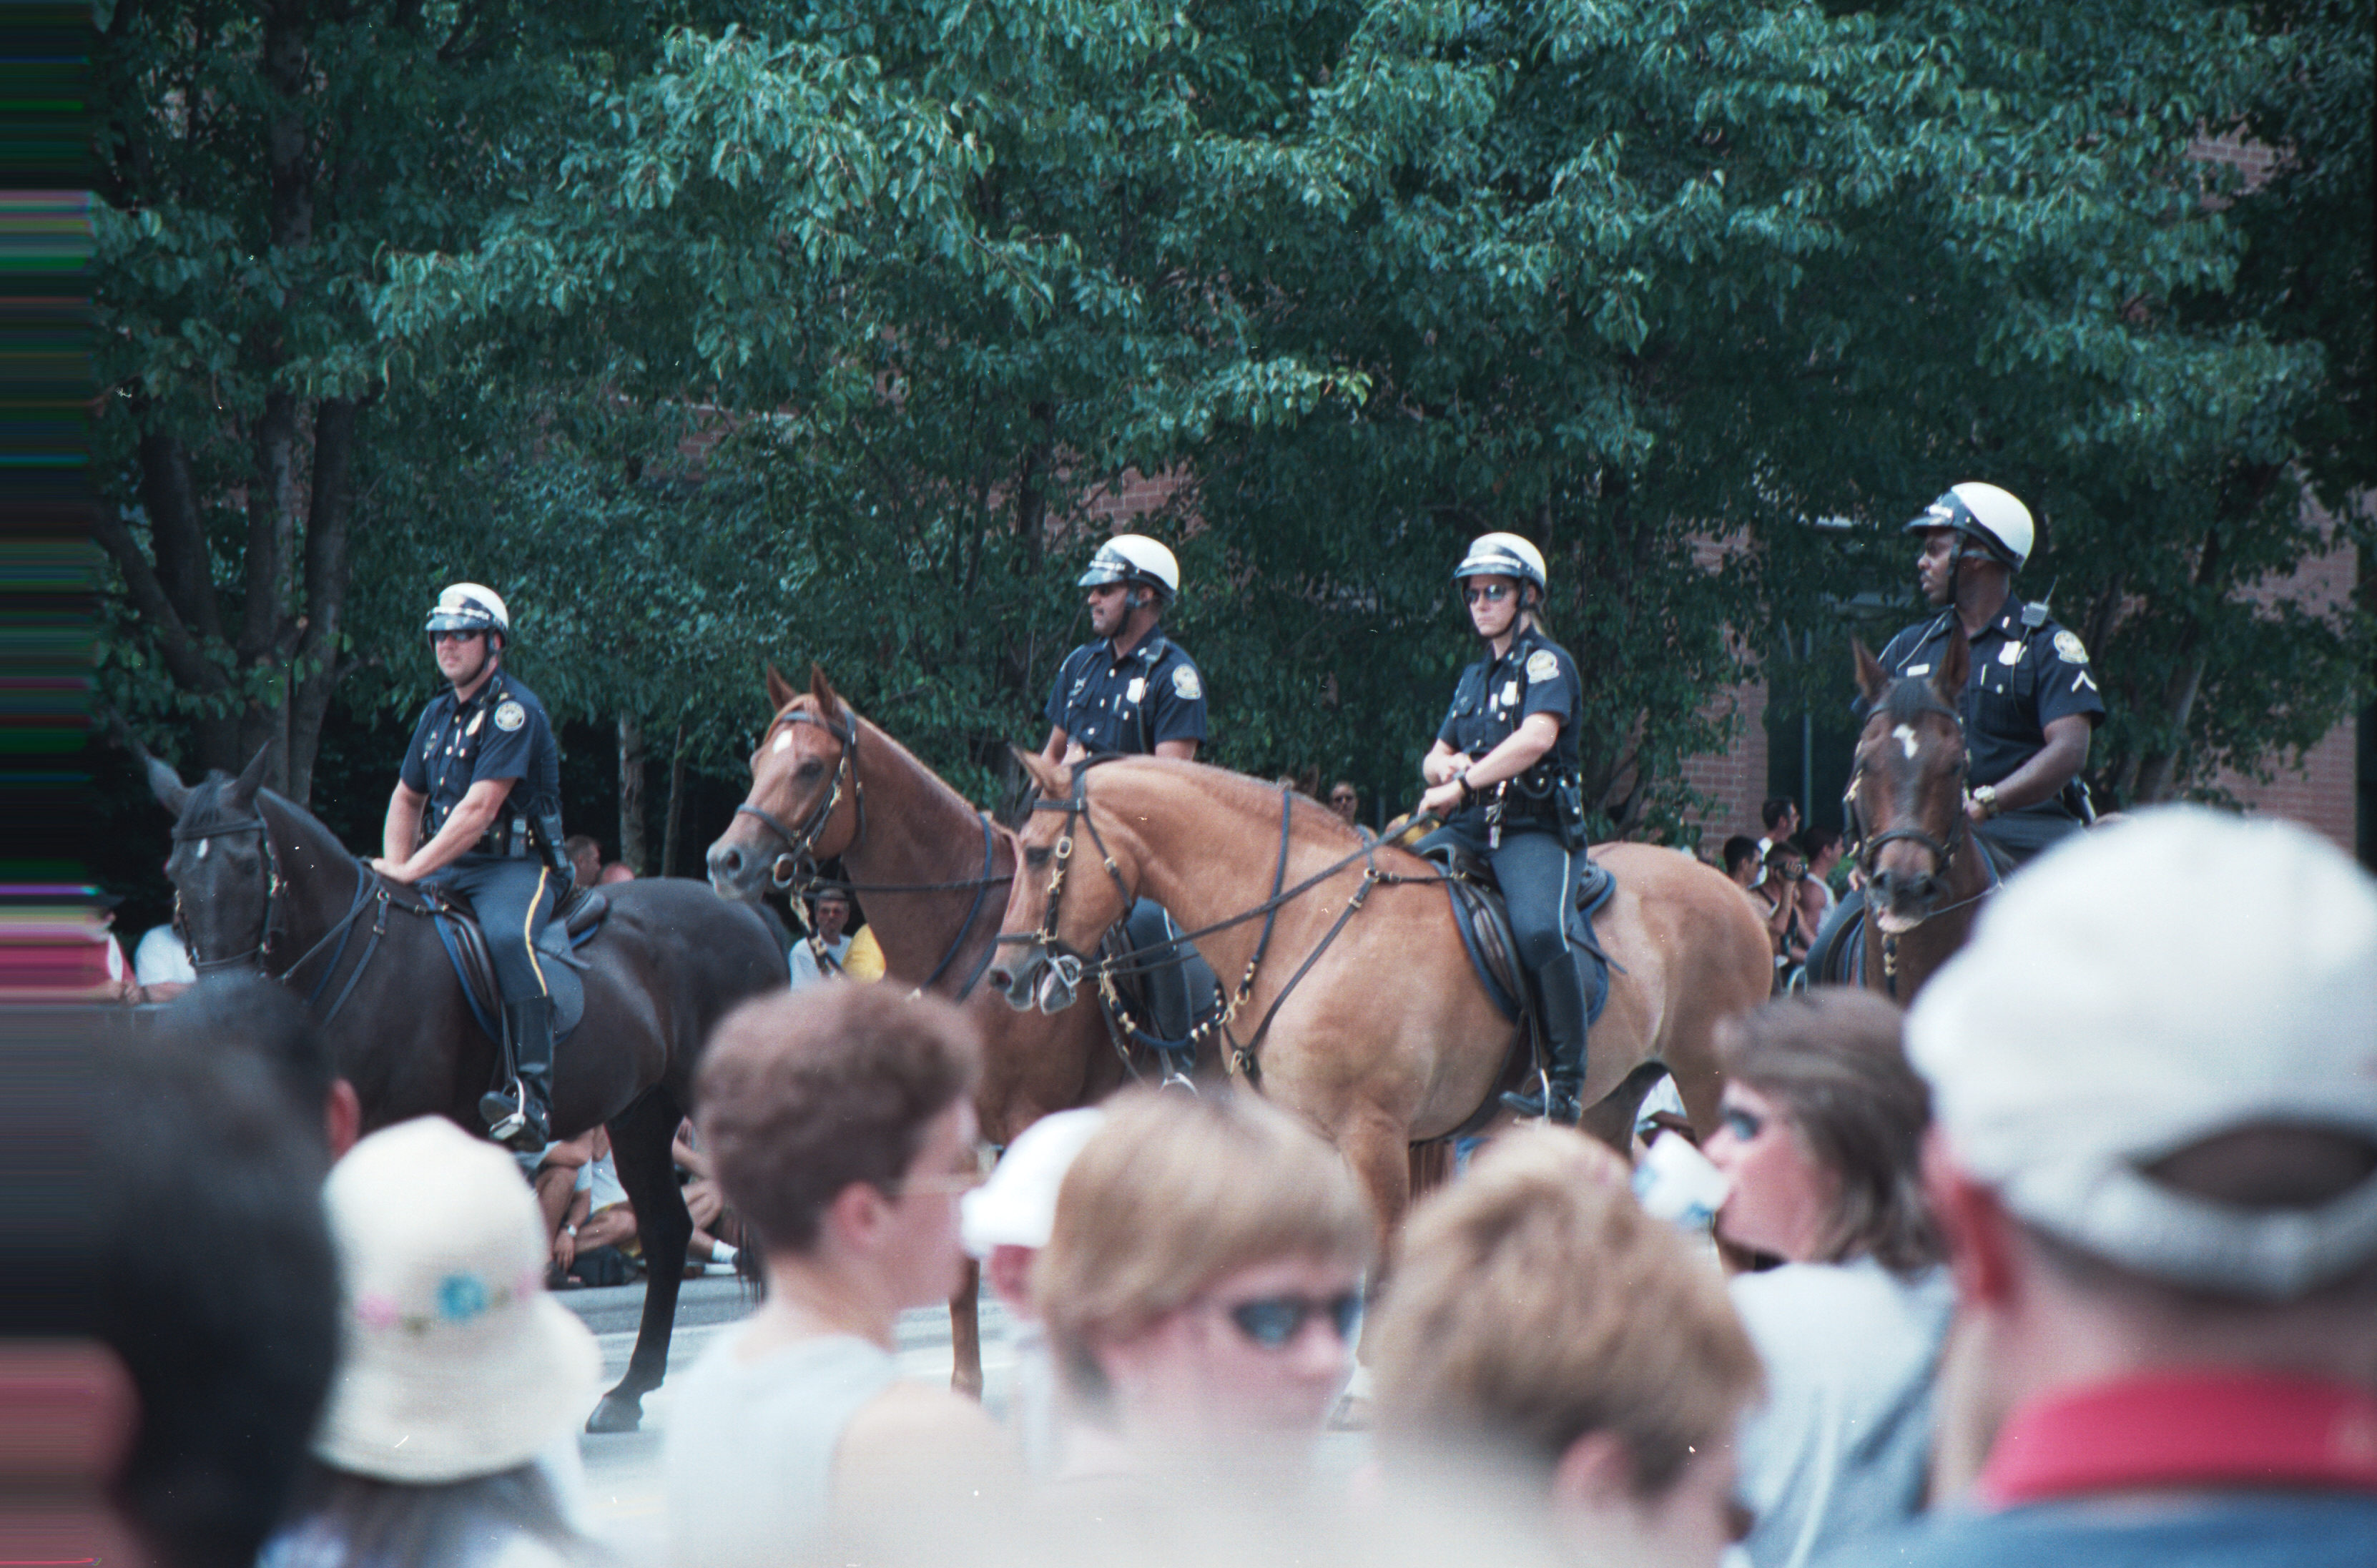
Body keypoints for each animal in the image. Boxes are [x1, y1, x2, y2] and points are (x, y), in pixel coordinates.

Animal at [146, 746, 779, 1434]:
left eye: (245, 863)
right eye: (175, 871)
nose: (220, 1006)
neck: (354, 961)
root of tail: (745, 911)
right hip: (640, 1115)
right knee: (666, 1230)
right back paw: (628, 1391)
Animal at [699, 665, 1126, 1396]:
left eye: (810, 766)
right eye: (757, 761)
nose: (726, 860)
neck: (970, 935)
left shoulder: (1035, 1122)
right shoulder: (960, 1140)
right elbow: (961, 1272)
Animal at [974, 750, 1778, 1263]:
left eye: (1041, 853)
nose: (1005, 974)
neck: (1303, 922)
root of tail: (1742, 898)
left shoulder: (1375, 1135)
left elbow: (1384, 1252)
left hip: (1708, 1086)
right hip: (1615, 1099)